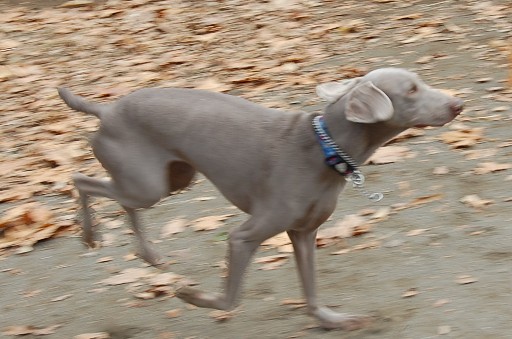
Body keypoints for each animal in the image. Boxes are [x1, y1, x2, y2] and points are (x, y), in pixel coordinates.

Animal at [60, 67, 464, 330]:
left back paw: (149, 254)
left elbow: (311, 289)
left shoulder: (303, 233)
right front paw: (190, 295)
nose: (458, 104)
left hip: (173, 178)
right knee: (81, 180)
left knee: (122, 199)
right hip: (146, 183)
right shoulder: (245, 237)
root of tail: (107, 108)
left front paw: (334, 320)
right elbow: (229, 299)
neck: (326, 148)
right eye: (411, 89)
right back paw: (90, 236)